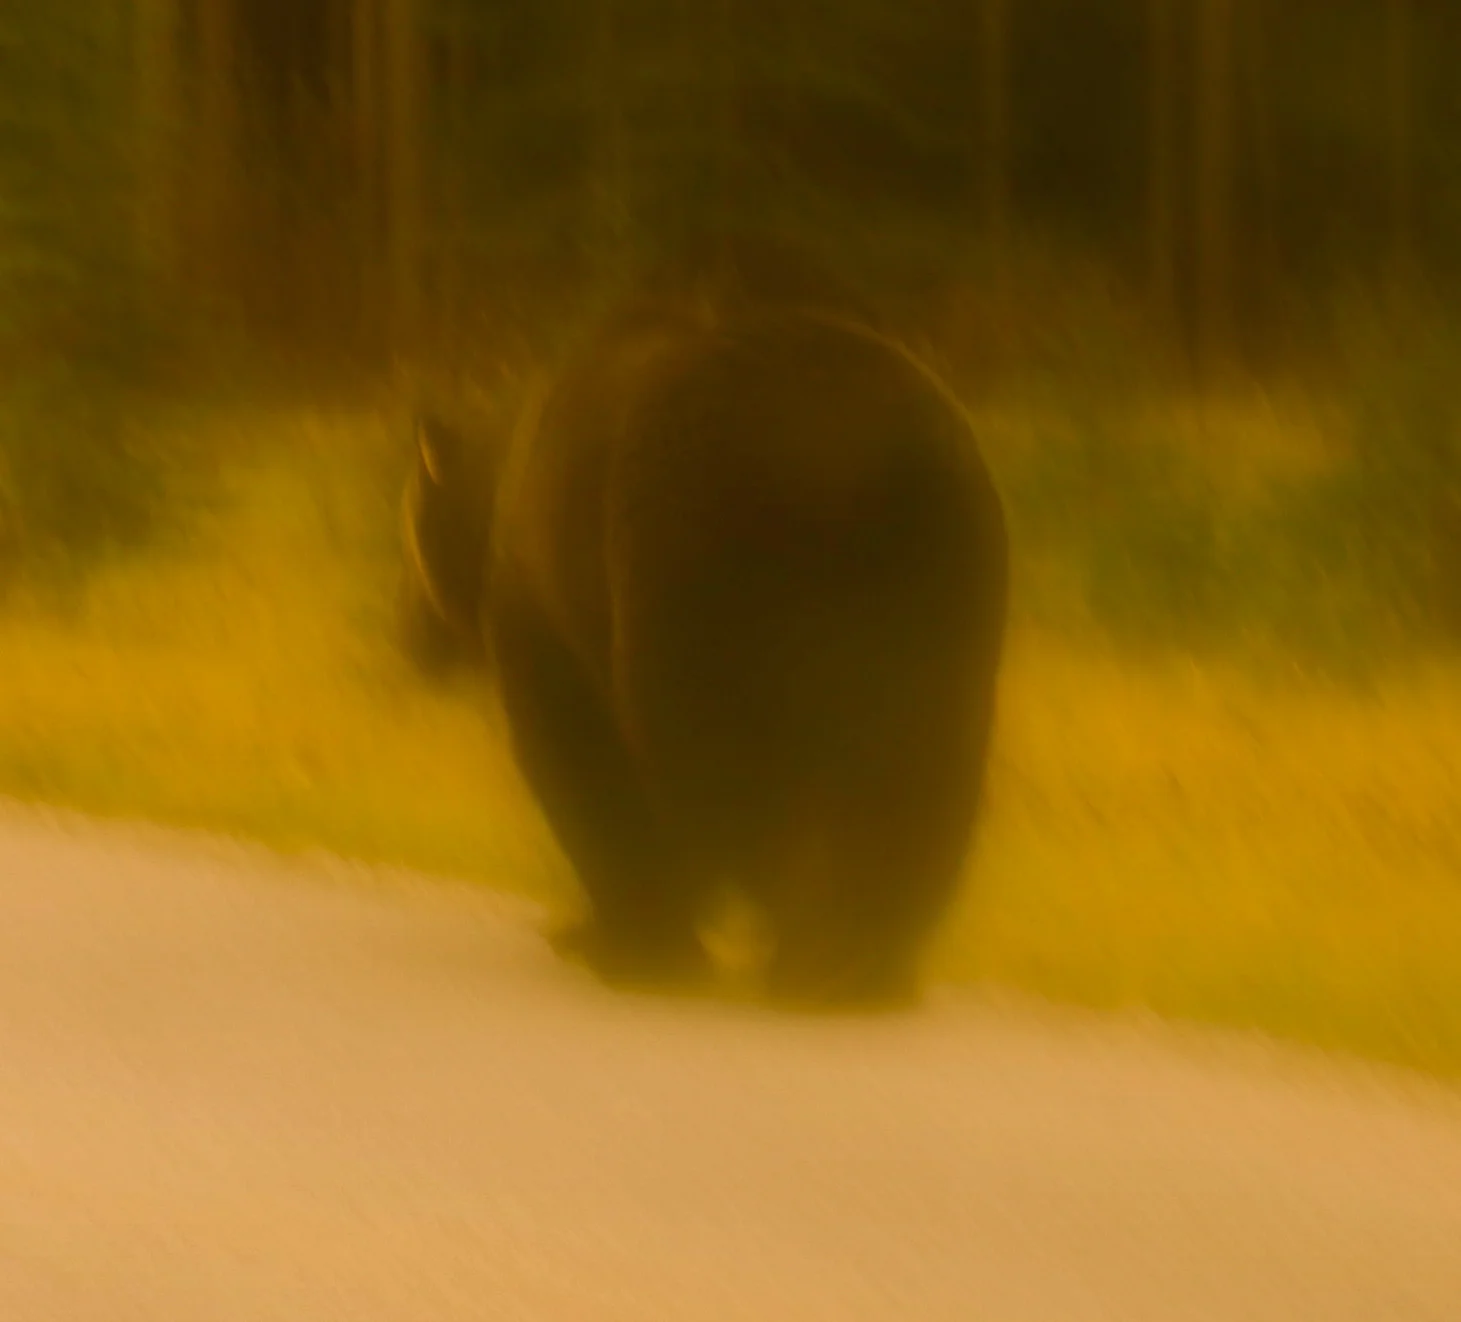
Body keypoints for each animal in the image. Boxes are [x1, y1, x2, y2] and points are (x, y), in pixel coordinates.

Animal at [400, 280, 1009, 1009]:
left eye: (409, 539)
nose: (412, 636)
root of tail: (853, 464)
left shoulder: (550, 598)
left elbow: (577, 751)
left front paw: (617, 937)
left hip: (702, 560)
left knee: (717, 755)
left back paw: (808, 937)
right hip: (945, 584)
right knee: (926, 763)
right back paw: (867, 961)